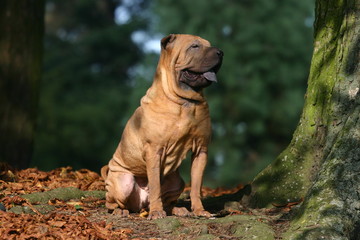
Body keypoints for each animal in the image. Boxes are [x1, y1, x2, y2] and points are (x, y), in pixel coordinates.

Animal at [101, 33, 224, 219]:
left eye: (208, 44)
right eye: (194, 46)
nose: (220, 52)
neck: (185, 101)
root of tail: (141, 206)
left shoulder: (201, 149)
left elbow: (196, 186)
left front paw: (199, 210)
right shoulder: (154, 150)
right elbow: (155, 186)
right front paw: (156, 212)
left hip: (176, 180)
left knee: (168, 201)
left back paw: (178, 210)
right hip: (124, 182)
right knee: (112, 202)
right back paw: (120, 211)